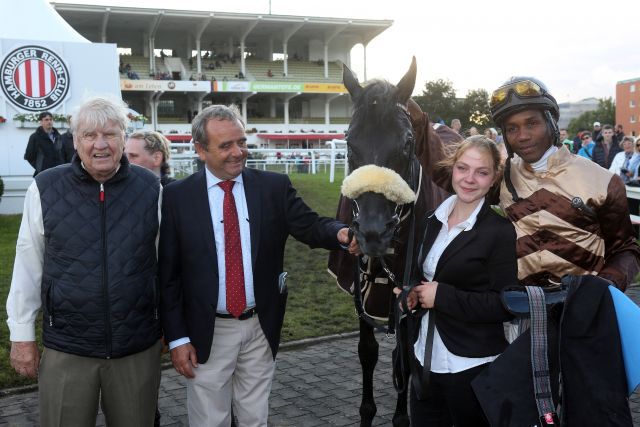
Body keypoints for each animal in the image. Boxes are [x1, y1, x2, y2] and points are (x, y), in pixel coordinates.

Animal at [330, 59, 460, 427]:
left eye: (406, 142)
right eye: (349, 142)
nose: (373, 232)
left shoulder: (410, 292)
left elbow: (406, 358)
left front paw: (403, 415)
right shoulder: (362, 292)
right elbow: (367, 353)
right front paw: (366, 412)